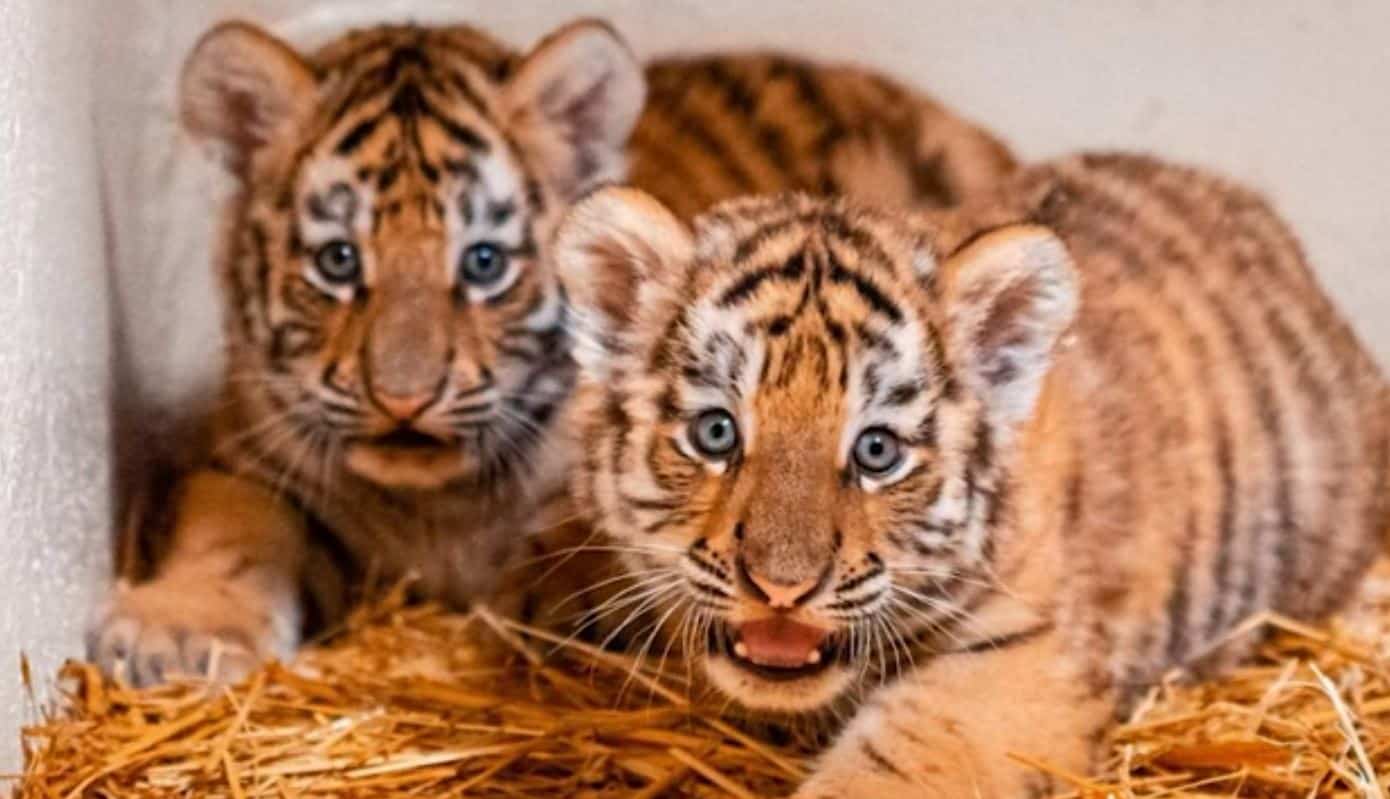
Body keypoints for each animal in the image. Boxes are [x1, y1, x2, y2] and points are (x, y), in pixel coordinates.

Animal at [86, 17, 1015, 687]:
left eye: (483, 263)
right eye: (339, 261)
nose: (404, 398)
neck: (435, 502)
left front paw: (554, 599)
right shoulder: (248, 456)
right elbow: (231, 527)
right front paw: (178, 630)